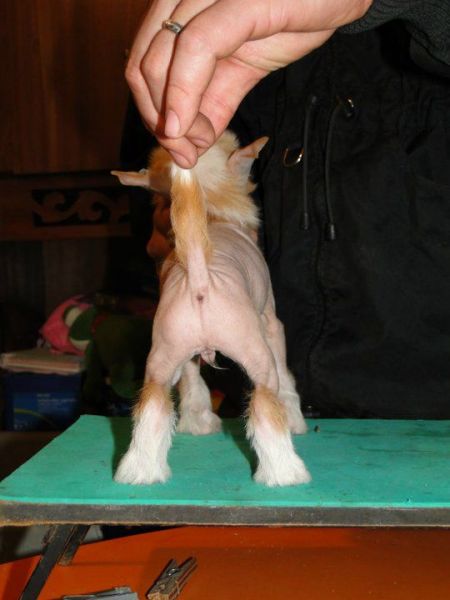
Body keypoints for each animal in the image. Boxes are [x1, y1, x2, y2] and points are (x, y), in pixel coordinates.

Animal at [111, 131, 310, 486]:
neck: (212, 218)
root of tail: (199, 278)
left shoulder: (186, 357)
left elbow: (191, 382)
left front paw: (197, 422)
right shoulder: (272, 325)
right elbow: (287, 378)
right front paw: (295, 419)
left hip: (160, 366)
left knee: (152, 410)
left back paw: (141, 472)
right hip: (259, 362)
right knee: (266, 407)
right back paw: (285, 473)